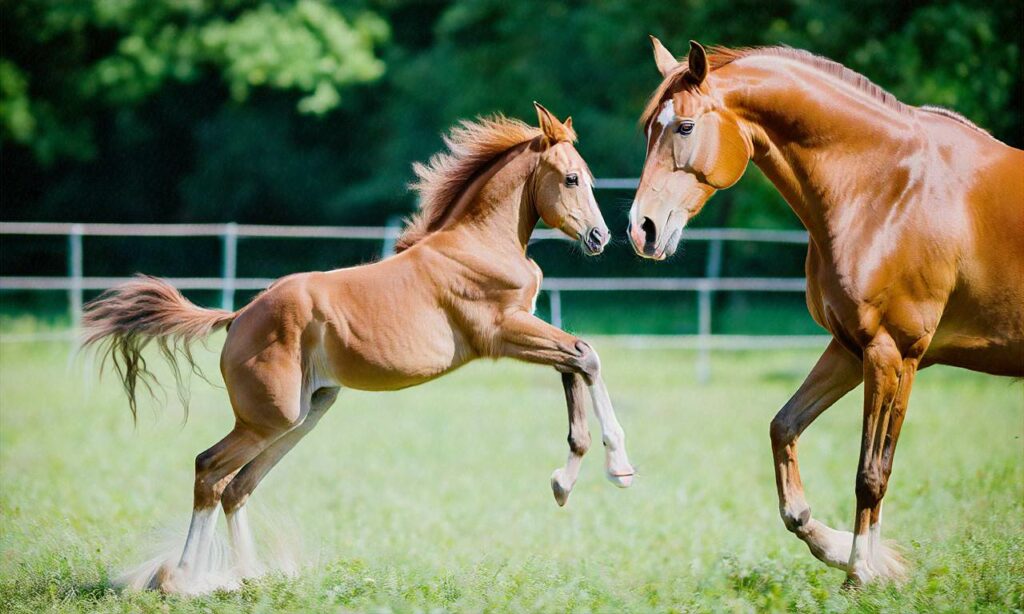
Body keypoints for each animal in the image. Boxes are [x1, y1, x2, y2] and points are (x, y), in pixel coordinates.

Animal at [86, 103, 630, 593]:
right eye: (572, 179)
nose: (600, 236)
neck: (479, 245)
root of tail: (238, 318)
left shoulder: (529, 329)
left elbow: (573, 363)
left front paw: (567, 480)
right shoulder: (503, 331)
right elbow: (586, 355)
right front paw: (617, 467)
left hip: (303, 414)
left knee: (238, 486)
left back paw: (247, 577)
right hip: (270, 417)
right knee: (209, 470)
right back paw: (185, 579)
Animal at [630, 39, 1024, 585]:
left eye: (684, 127)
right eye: (648, 128)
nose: (640, 229)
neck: (887, 188)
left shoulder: (896, 354)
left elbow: (872, 474)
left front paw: (861, 574)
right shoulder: (850, 348)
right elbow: (784, 429)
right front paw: (843, 550)